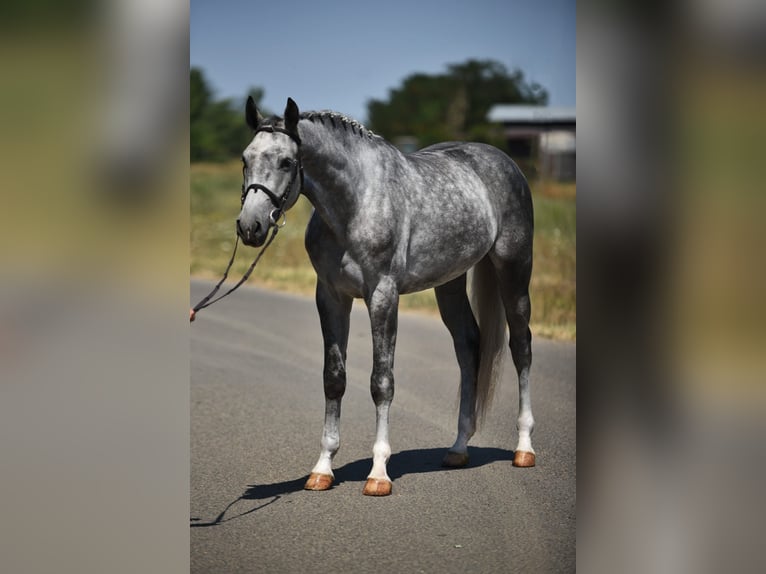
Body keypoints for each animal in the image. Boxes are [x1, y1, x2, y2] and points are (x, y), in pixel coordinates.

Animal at [238, 97, 536, 498]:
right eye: (245, 158)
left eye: (286, 162)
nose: (249, 227)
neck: (355, 204)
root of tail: (505, 162)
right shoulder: (331, 297)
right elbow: (334, 378)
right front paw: (322, 469)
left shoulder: (382, 295)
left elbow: (381, 382)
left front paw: (378, 473)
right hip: (450, 282)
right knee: (468, 345)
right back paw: (458, 448)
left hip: (514, 269)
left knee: (521, 347)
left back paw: (524, 448)